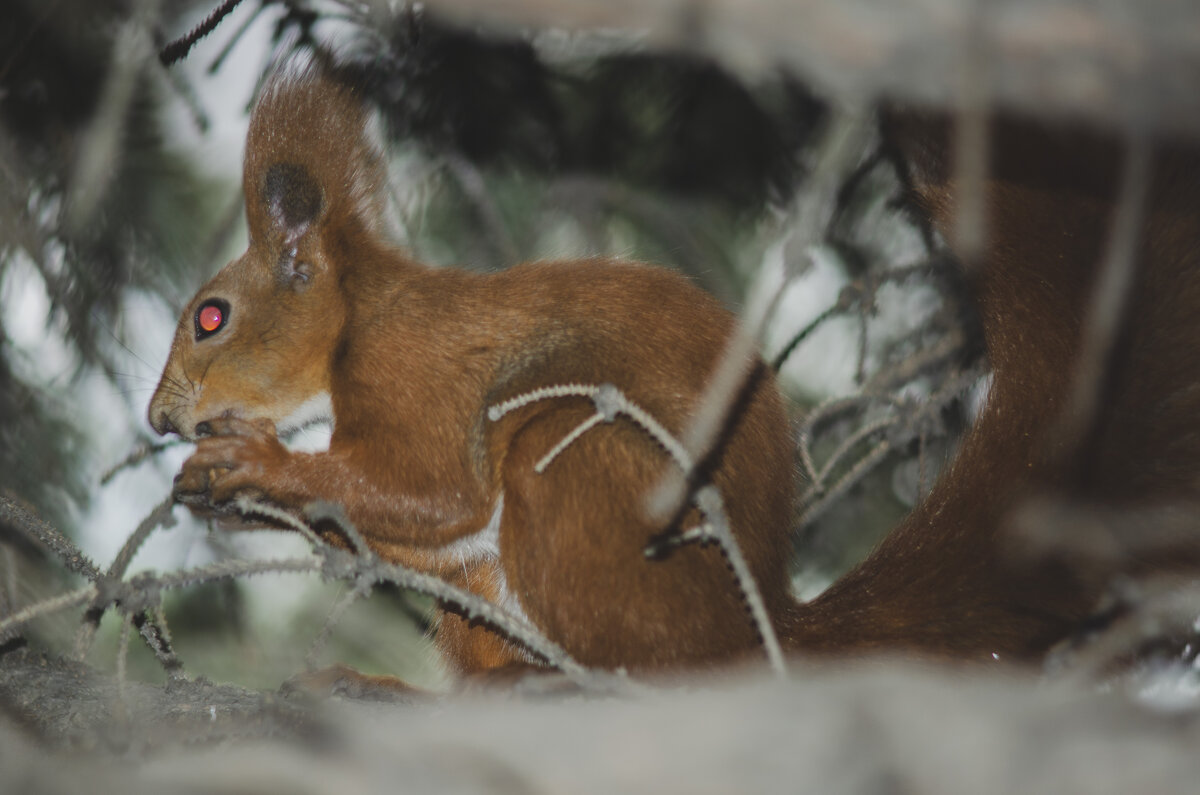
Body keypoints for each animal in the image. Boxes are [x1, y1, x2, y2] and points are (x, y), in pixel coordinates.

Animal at [147, 59, 1200, 682]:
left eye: (211, 316)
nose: (159, 418)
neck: (359, 322)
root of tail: (754, 635)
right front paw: (224, 490)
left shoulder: (416, 369)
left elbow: (437, 489)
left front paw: (254, 465)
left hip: (578, 467)